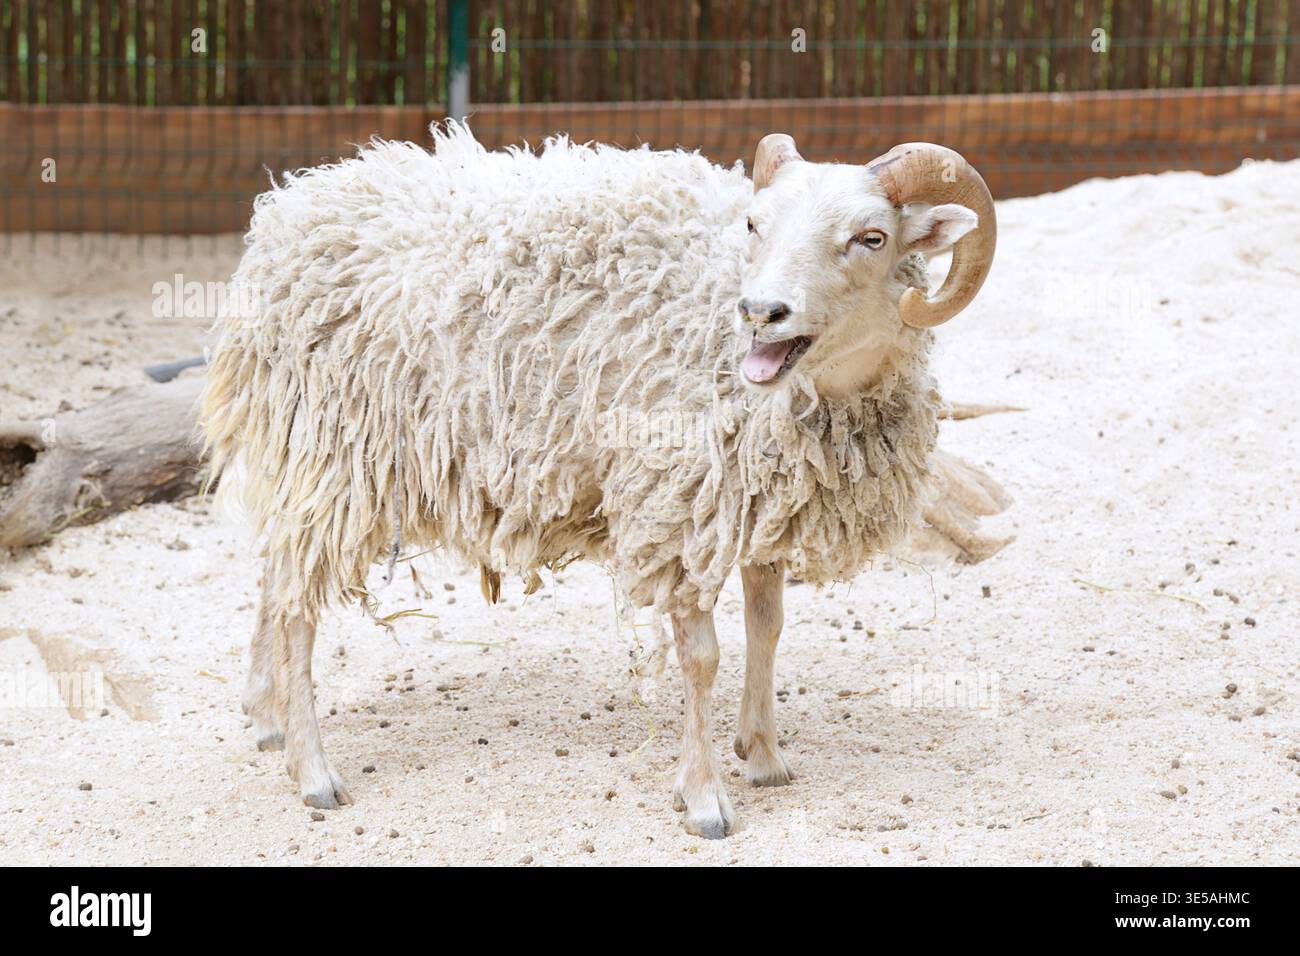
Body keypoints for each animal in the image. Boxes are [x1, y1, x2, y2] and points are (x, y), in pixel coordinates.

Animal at [200, 123, 996, 838]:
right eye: (755, 224)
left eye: (872, 237)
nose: (760, 312)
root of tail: (292, 207)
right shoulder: (678, 503)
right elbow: (702, 658)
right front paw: (704, 798)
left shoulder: (763, 501)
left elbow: (766, 629)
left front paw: (764, 754)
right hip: (337, 451)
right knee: (298, 603)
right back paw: (312, 772)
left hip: (306, 455)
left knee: (275, 573)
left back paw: (266, 714)